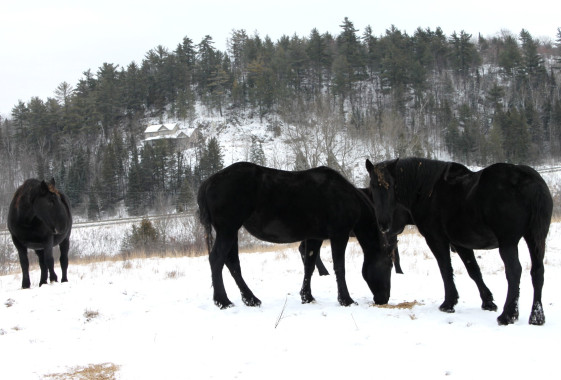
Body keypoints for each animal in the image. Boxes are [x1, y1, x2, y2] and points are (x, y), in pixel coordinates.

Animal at [198, 161, 394, 308]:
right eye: (388, 265)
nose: (383, 298)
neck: (345, 197)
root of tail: (209, 181)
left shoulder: (315, 237)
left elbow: (309, 265)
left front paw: (307, 297)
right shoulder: (340, 235)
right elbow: (339, 267)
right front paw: (346, 300)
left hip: (231, 232)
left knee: (232, 264)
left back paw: (250, 299)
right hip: (227, 230)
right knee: (216, 260)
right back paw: (222, 301)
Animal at [364, 157, 552, 326]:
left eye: (391, 185)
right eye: (373, 186)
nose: (384, 224)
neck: (426, 191)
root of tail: (530, 180)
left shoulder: (436, 239)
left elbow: (445, 269)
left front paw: (449, 303)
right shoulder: (461, 244)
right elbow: (474, 271)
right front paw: (488, 302)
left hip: (508, 243)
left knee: (514, 272)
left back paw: (508, 315)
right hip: (535, 238)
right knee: (538, 272)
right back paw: (537, 317)